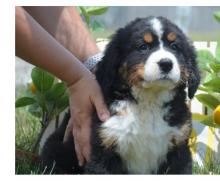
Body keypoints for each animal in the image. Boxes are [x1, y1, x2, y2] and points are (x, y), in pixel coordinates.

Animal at [40, 16, 200, 174]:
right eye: (143, 47)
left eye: (175, 47)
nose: (166, 63)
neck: (149, 102)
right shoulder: (105, 146)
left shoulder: (179, 147)